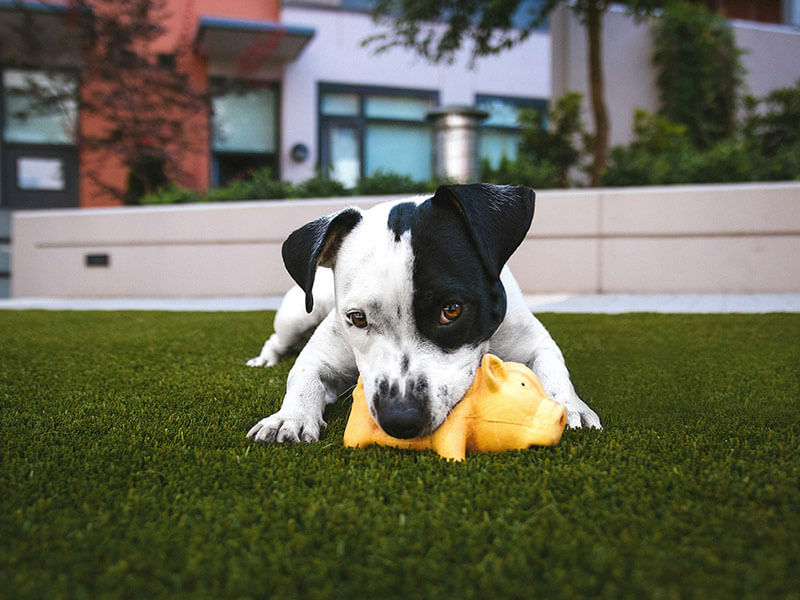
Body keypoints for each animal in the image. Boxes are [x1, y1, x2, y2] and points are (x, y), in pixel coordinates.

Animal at [244, 184, 600, 446]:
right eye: (358, 318)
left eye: (451, 310)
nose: (400, 418)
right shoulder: (322, 354)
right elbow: (303, 376)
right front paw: (289, 417)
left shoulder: (533, 341)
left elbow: (553, 367)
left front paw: (571, 406)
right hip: (298, 314)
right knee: (278, 338)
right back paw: (265, 360)